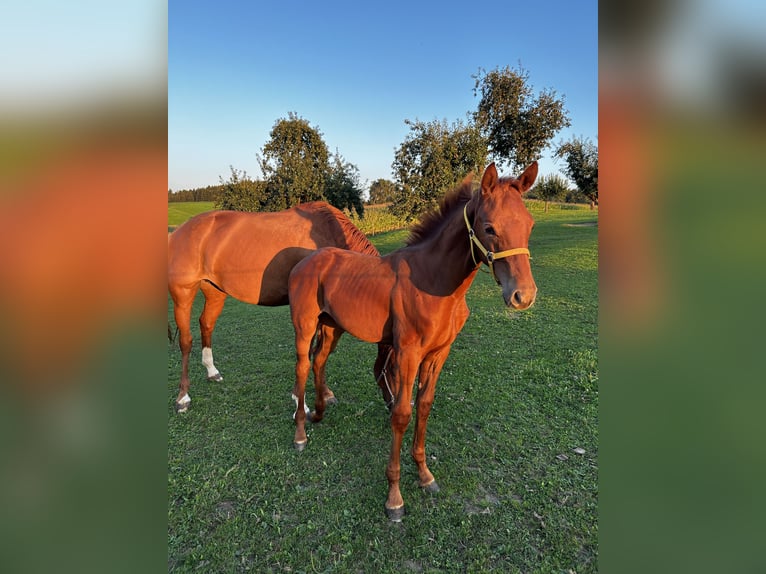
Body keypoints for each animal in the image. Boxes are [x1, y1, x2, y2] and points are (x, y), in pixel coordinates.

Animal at [168, 201, 387, 413]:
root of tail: (178, 232)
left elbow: (320, 353)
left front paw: (324, 394)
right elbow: (311, 353)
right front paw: (301, 402)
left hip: (215, 292)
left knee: (206, 324)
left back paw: (212, 372)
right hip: (183, 295)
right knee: (185, 342)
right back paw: (183, 398)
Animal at [287, 162, 538, 521]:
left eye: (529, 224)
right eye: (489, 227)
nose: (523, 296)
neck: (432, 280)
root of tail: (305, 262)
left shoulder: (438, 354)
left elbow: (424, 406)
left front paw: (424, 476)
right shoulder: (407, 353)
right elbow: (402, 414)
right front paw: (394, 497)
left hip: (333, 328)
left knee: (319, 362)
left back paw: (319, 413)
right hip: (305, 327)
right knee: (302, 367)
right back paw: (300, 434)